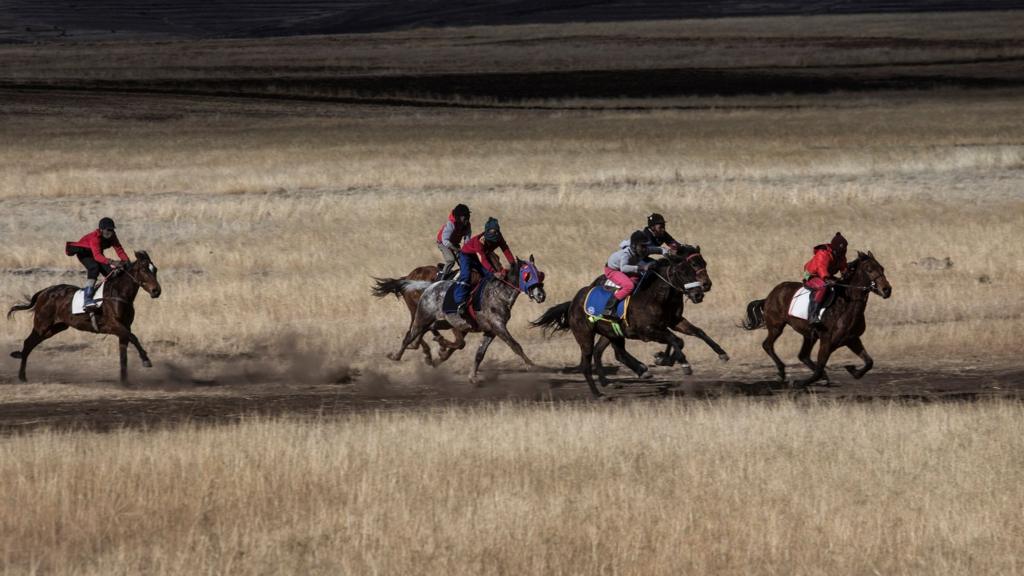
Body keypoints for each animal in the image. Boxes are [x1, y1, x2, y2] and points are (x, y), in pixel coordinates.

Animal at [6, 250, 161, 381]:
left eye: (155, 269)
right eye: (144, 270)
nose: (156, 291)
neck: (119, 295)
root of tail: (44, 291)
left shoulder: (123, 329)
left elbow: (124, 355)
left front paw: (124, 381)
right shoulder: (114, 325)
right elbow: (134, 337)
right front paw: (146, 360)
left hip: (55, 328)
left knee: (32, 343)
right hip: (42, 324)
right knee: (28, 343)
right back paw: (22, 376)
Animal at [382, 254, 544, 381]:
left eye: (540, 273)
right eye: (528, 275)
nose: (541, 295)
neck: (498, 293)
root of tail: (430, 286)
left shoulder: (490, 330)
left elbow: (479, 353)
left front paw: (472, 376)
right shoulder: (497, 326)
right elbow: (515, 345)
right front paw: (532, 365)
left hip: (441, 321)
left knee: (428, 329)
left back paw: (432, 345)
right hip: (423, 316)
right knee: (410, 335)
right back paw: (397, 355)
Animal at [528, 253, 704, 397]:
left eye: (694, 270)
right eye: (682, 273)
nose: (698, 294)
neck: (653, 297)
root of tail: (573, 302)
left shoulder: (663, 326)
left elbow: (677, 340)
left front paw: (666, 359)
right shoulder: (647, 331)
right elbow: (675, 339)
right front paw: (683, 364)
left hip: (612, 332)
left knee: (616, 353)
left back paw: (637, 371)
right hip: (585, 335)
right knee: (588, 363)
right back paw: (597, 393)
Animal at [741, 250, 892, 385]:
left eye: (882, 268)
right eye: (869, 269)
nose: (887, 290)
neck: (846, 305)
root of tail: (769, 296)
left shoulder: (852, 339)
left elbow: (869, 362)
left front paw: (853, 370)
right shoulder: (827, 341)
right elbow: (819, 369)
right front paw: (799, 382)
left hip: (809, 335)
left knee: (803, 355)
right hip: (776, 326)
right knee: (768, 345)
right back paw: (782, 372)